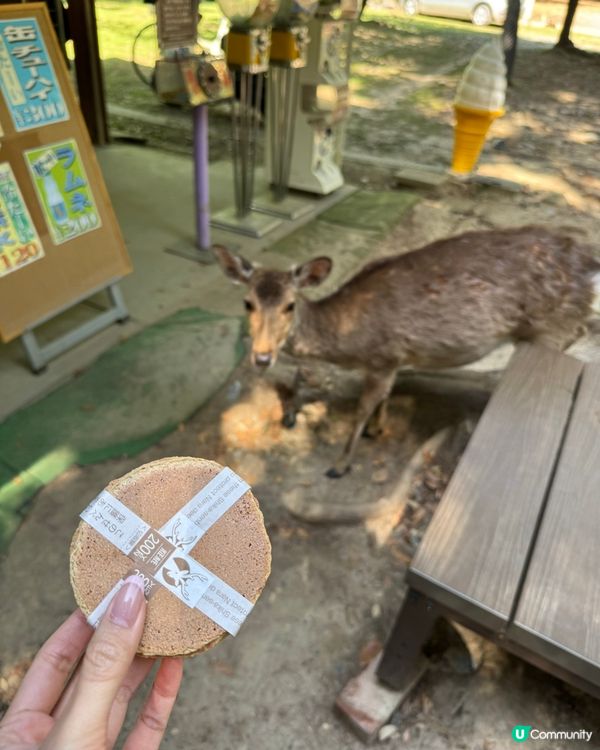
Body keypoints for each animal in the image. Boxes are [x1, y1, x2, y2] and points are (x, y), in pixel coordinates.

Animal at [215, 226, 600, 478]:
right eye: (247, 302)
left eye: (290, 305)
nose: (262, 357)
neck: (349, 343)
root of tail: (589, 262)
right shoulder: (391, 360)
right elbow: (384, 397)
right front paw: (377, 430)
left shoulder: (383, 356)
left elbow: (363, 406)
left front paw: (340, 464)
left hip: (551, 325)